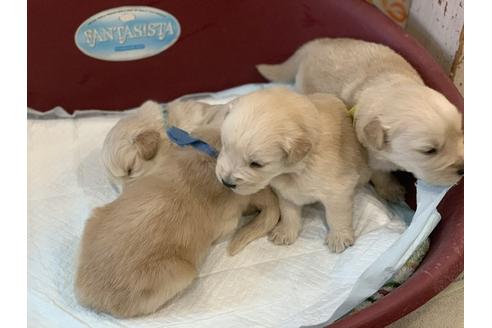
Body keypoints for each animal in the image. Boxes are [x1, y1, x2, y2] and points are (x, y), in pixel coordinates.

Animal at [215, 88, 368, 254]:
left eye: (256, 164)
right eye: (225, 146)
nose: (226, 183)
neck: (292, 171)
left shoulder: (338, 189)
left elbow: (337, 215)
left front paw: (339, 237)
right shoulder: (284, 191)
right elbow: (288, 211)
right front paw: (285, 232)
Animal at [258, 38, 466, 202]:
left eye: (459, 133)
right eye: (429, 151)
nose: (462, 169)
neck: (389, 87)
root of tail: (315, 44)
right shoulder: (373, 157)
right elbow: (381, 174)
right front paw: (390, 190)